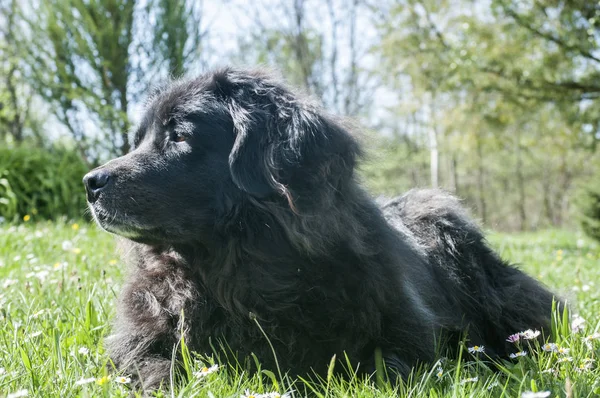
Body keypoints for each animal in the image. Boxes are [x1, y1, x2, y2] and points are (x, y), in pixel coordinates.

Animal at [83, 67, 556, 388]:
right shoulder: (142, 342)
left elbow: (385, 369)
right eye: (138, 140)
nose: (91, 182)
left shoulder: (403, 338)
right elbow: (151, 368)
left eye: (179, 136)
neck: (230, 269)